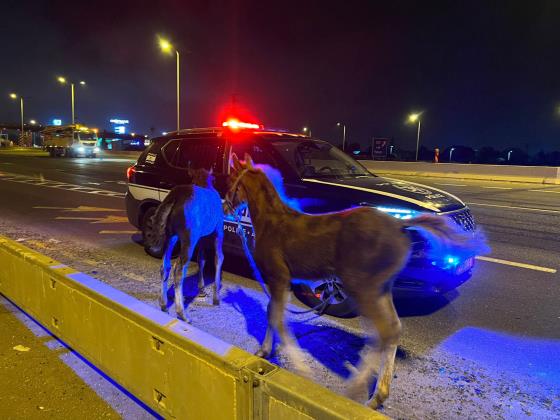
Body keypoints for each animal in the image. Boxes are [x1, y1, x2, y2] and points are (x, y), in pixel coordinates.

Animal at [152, 167, 226, 322]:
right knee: (179, 269)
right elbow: (218, 258)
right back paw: (181, 313)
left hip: (171, 236)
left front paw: (202, 288)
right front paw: (216, 297)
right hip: (189, 238)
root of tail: (175, 196)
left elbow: (201, 259)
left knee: (165, 266)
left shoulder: (202, 237)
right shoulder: (219, 231)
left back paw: (163, 304)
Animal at [225, 153, 488, 408]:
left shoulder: (278, 277)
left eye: (231, 179)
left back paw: (360, 391)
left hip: (362, 287)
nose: (225, 202)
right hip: (381, 288)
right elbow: (273, 312)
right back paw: (377, 395)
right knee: (391, 330)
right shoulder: (280, 280)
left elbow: (275, 316)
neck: (272, 222)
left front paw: (298, 367)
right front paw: (264, 350)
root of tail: (401, 225)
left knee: (383, 332)